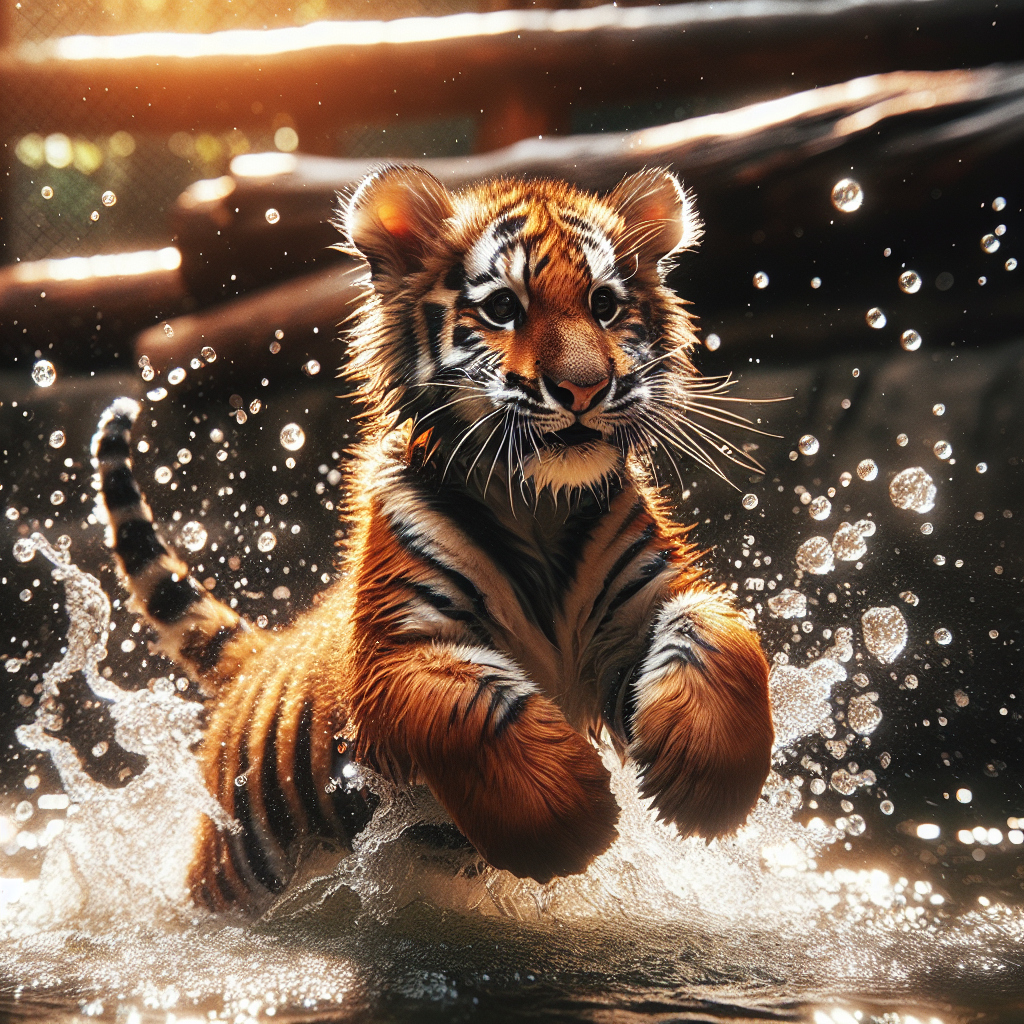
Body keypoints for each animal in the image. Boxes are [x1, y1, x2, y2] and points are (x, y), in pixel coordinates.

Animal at [91, 165, 774, 909]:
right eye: (503, 307)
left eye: (604, 304)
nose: (584, 389)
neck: (539, 508)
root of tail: (257, 657)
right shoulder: (398, 649)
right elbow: (471, 708)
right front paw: (573, 819)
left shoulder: (646, 597)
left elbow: (719, 637)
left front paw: (705, 783)